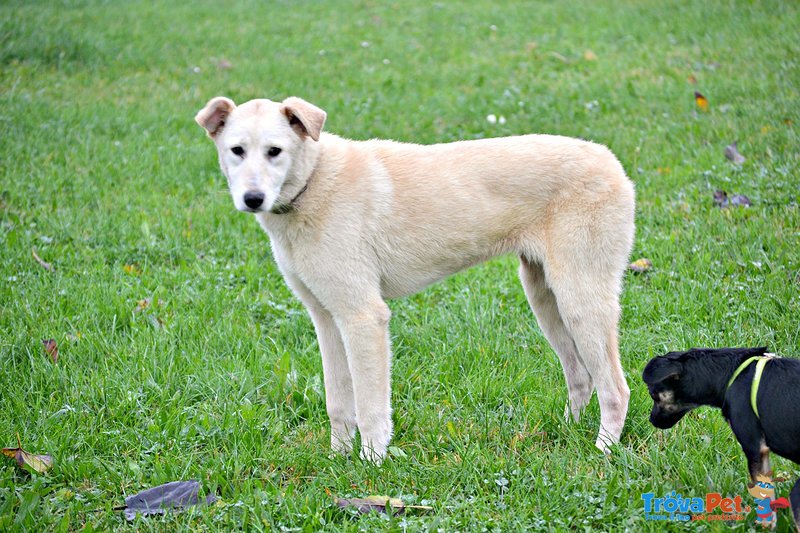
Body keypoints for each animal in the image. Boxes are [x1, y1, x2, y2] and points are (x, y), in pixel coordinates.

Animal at [197, 96, 636, 462]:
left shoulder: (364, 317)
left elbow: (370, 406)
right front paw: (338, 459)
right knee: (581, 377)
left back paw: (603, 451)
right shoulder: (327, 319)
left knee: (615, 387)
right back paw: (568, 431)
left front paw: (372, 464)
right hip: (545, 298)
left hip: (581, 299)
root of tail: (611, 161)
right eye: (237, 150)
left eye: (275, 151)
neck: (314, 182)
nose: (252, 199)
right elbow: (338, 402)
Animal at [644, 344, 800, 528]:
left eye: (653, 394)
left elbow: (764, 497)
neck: (731, 375)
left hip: (796, 493)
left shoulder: (755, 448)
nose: (651, 420)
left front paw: (763, 527)